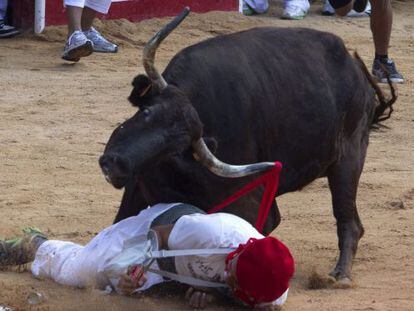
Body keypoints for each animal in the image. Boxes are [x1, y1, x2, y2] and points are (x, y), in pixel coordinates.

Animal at [98, 7, 396, 286]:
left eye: (175, 149)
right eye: (147, 112)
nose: (115, 165)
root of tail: (356, 69)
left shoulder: (249, 203)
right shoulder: (136, 187)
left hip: (348, 160)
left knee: (348, 220)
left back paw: (340, 274)